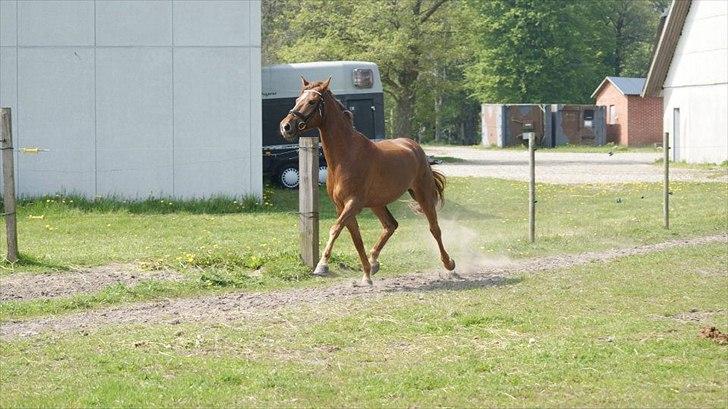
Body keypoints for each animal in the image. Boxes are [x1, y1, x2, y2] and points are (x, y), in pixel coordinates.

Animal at [278, 77, 456, 286]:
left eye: (312, 102)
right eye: (297, 99)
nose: (285, 127)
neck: (346, 156)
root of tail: (413, 146)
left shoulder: (353, 203)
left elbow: (335, 229)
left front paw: (322, 265)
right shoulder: (342, 206)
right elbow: (356, 238)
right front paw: (366, 275)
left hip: (423, 194)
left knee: (434, 228)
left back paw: (449, 263)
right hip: (377, 203)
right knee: (390, 225)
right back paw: (374, 261)